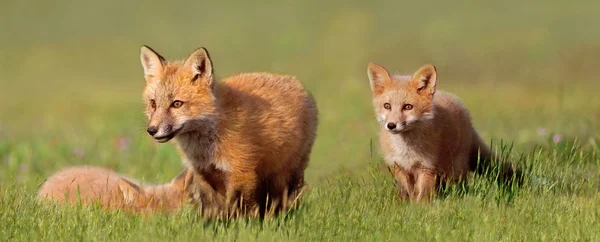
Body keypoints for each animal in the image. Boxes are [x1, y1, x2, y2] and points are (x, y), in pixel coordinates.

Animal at [139, 45, 318, 217]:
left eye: (177, 104)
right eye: (153, 104)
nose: (151, 130)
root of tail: (295, 82)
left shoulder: (242, 172)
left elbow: (239, 211)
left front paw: (243, 226)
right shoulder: (204, 174)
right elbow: (212, 211)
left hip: (286, 175)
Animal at [364, 62, 524, 202]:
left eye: (408, 107)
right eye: (387, 106)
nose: (391, 125)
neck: (407, 150)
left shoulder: (427, 167)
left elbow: (423, 195)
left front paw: (420, 209)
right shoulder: (399, 167)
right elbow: (406, 193)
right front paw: (407, 207)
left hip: (455, 170)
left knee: (459, 186)